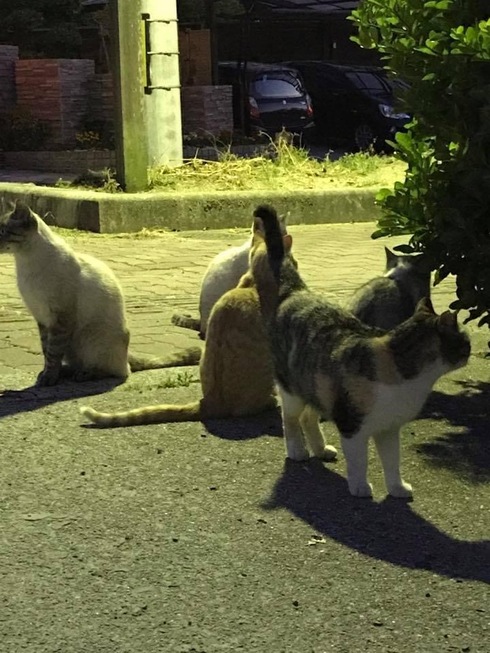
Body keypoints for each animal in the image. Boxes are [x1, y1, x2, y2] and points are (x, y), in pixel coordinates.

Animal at [0, 201, 200, 384]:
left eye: (2, 232)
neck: (25, 262)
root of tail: (126, 354)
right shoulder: (42, 318)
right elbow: (46, 350)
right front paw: (47, 375)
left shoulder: (60, 318)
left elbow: (53, 353)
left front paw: (49, 379)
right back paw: (69, 372)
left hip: (90, 338)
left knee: (119, 371)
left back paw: (84, 374)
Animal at [251, 205, 468, 500]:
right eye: (464, 339)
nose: (469, 348)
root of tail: (296, 292)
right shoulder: (352, 426)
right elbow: (359, 461)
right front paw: (360, 487)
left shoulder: (389, 429)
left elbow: (393, 462)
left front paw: (397, 488)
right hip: (292, 388)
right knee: (291, 419)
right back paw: (298, 451)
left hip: (316, 386)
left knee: (309, 417)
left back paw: (321, 449)